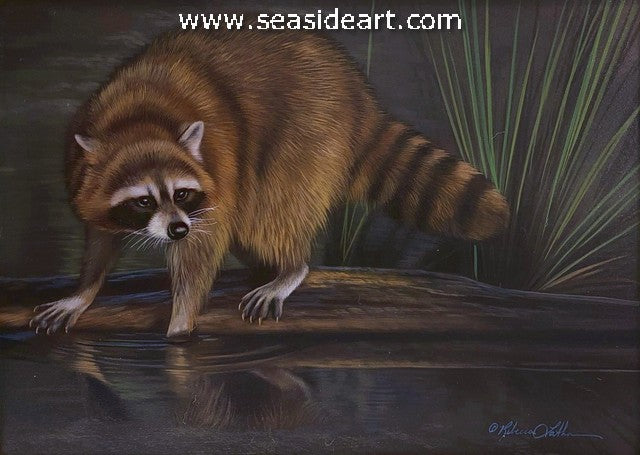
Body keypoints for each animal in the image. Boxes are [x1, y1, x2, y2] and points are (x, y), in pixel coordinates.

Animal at [30, 28, 509, 338]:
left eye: (181, 193)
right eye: (143, 201)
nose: (177, 228)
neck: (138, 124)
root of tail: (357, 93)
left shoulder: (217, 165)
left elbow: (203, 245)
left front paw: (181, 323)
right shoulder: (84, 169)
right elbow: (100, 238)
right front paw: (85, 290)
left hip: (310, 134)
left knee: (273, 209)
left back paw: (291, 265)